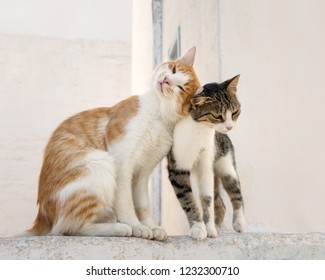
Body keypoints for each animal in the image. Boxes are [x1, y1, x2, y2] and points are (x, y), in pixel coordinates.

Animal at [27, 47, 200, 240]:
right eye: (174, 70)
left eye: (181, 88)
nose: (166, 80)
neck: (158, 114)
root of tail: (42, 218)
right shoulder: (122, 160)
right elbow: (125, 201)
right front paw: (136, 225)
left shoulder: (143, 173)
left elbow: (142, 204)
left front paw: (151, 227)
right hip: (100, 163)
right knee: (68, 227)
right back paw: (120, 227)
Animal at [167, 75, 246, 241]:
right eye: (217, 116)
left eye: (234, 112)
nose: (229, 127)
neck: (199, 129)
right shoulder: (178, 167)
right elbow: (188, 199)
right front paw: (198, 227)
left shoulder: (206, 164)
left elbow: (207, 198)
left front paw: (208, 228)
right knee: (221, 204)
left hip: (226, 165)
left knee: (235, 192)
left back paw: (239, 223)